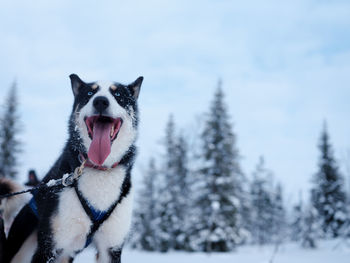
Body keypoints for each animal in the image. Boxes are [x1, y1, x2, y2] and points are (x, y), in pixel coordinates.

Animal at [0, 74, 142, 263]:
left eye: (118, 94)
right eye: (90, 93)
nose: (101, 101)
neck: (99, 169)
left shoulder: (111, 248)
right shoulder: (49, 247)